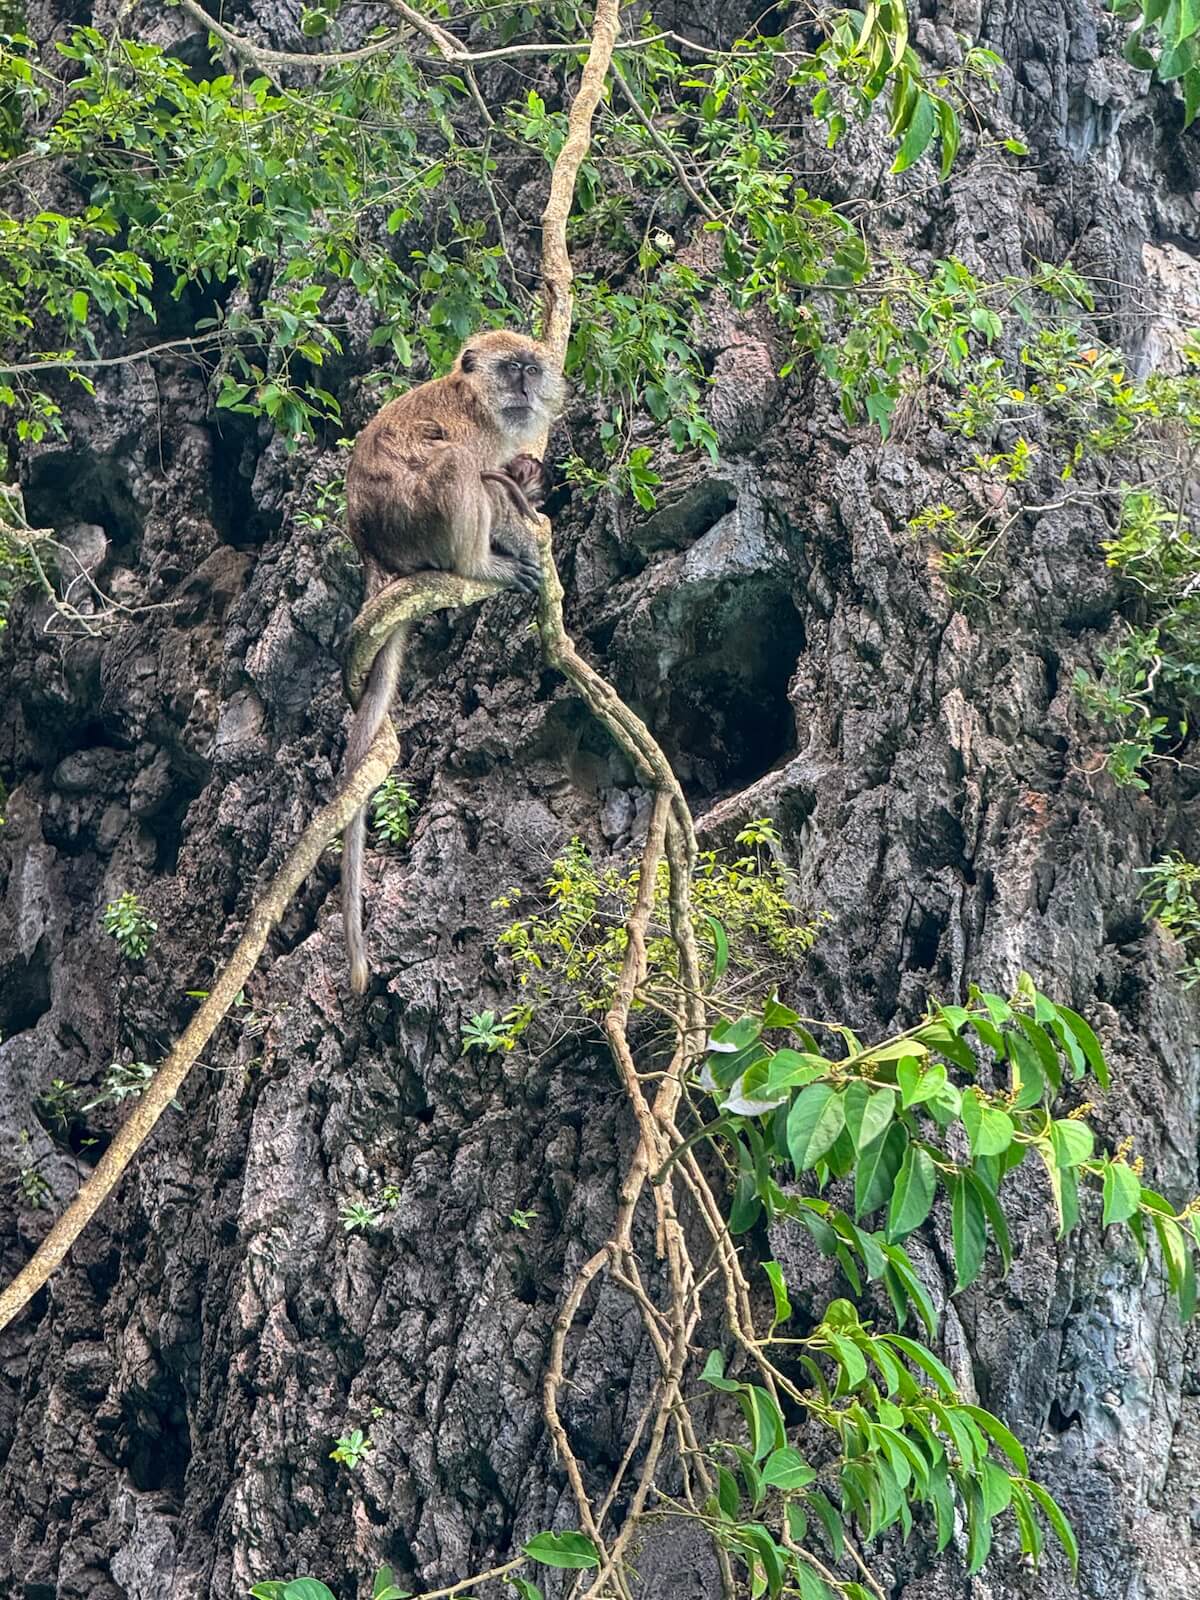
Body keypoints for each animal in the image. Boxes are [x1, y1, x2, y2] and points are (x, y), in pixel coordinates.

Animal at [340, 329, 564, 994]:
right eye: (510, 369)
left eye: (530, 368)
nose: (525, 386)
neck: (478, 401)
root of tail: (373, 548)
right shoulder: (481, 432)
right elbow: (485, 477)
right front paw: (523, 525)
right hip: (414, 519)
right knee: (455, 467)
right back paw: (479, 564)